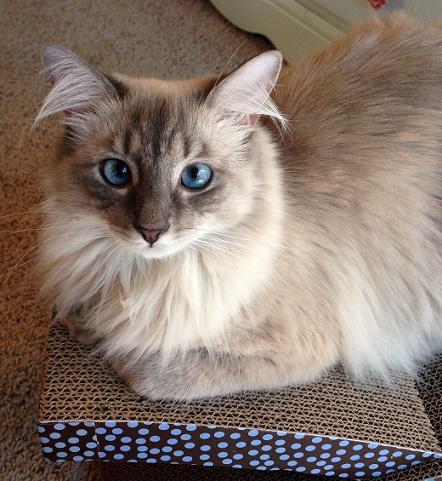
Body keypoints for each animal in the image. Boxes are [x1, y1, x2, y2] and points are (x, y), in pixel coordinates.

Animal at [35, 13, 442, 400]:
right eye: (117, 173)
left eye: (196, 176)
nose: (151, 233)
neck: (147, 279)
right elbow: (76, 315)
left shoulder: (297, 347)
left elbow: (146, 370)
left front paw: (114, 350)